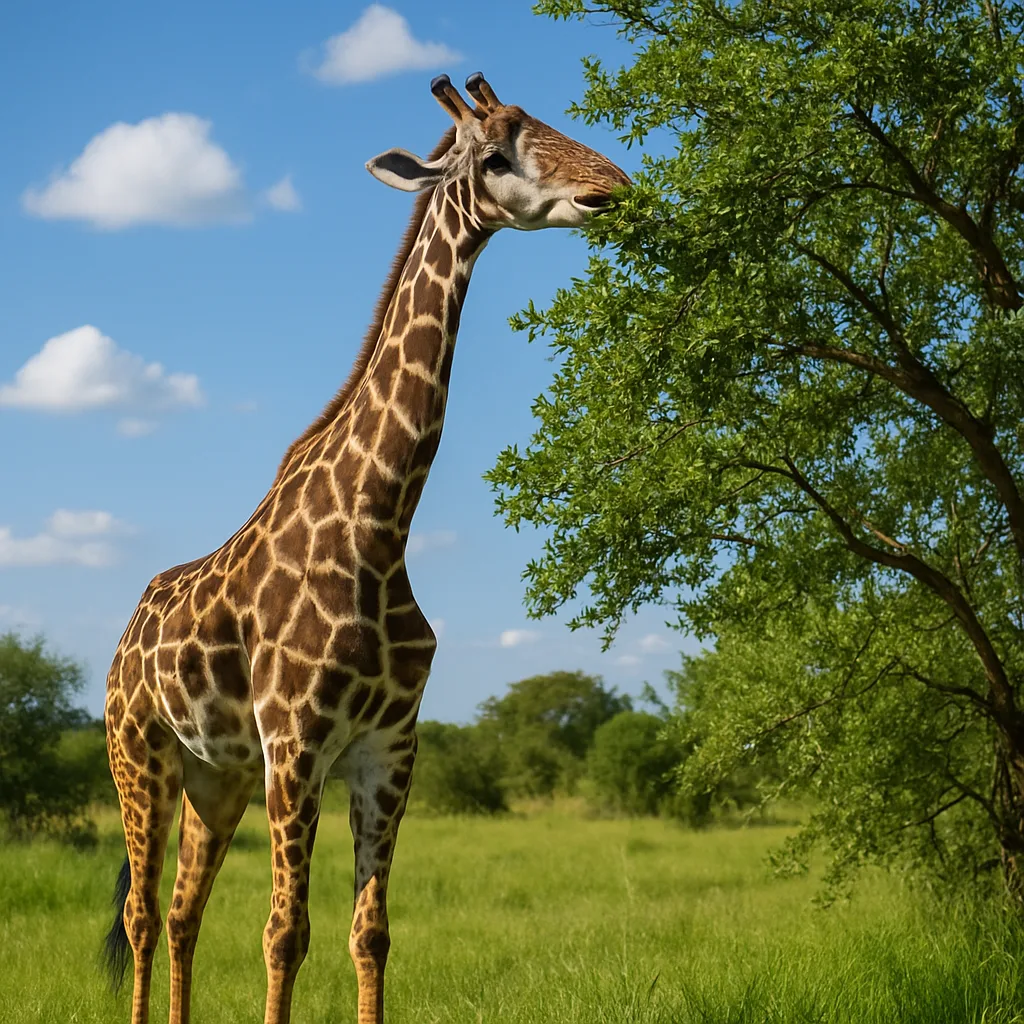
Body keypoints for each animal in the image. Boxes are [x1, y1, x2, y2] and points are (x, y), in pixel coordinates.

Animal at [103, 72, 629, 1024]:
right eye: (494, 157)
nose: (612, 188)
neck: (382, 529)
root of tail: (124, 639)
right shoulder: (298, 743)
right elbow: (285, 933)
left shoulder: (388, 749)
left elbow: (369, 934)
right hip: (140, 757)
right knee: (141, 914)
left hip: (215, 779)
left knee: (184, 909)